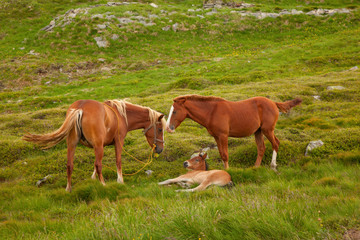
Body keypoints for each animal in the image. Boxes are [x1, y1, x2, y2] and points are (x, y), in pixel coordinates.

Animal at [23, 99, 167, 191]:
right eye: (160, 129)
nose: (160, 149)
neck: (122, 116)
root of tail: (80, 108)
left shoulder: (98, 146)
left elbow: (93, 165)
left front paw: (93, 179)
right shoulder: (117, 142)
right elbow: (117, 161)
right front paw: (120, 180)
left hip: (72, 144)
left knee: (70, 165)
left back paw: (68, 188)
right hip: (97, 146)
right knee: (99, 165)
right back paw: (103, 184)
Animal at [166, 94, 300, 170]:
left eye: (175, 111)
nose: (168, 128)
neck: (211, 112)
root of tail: (273, 103)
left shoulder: (223, 136)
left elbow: (225, 155)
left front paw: (227, 170)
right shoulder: (216, 137)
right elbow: (221, 154)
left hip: (267, 130)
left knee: (275, 144)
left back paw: (273, 165)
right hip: (258, 132)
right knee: (261, 148)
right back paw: (255, 167)